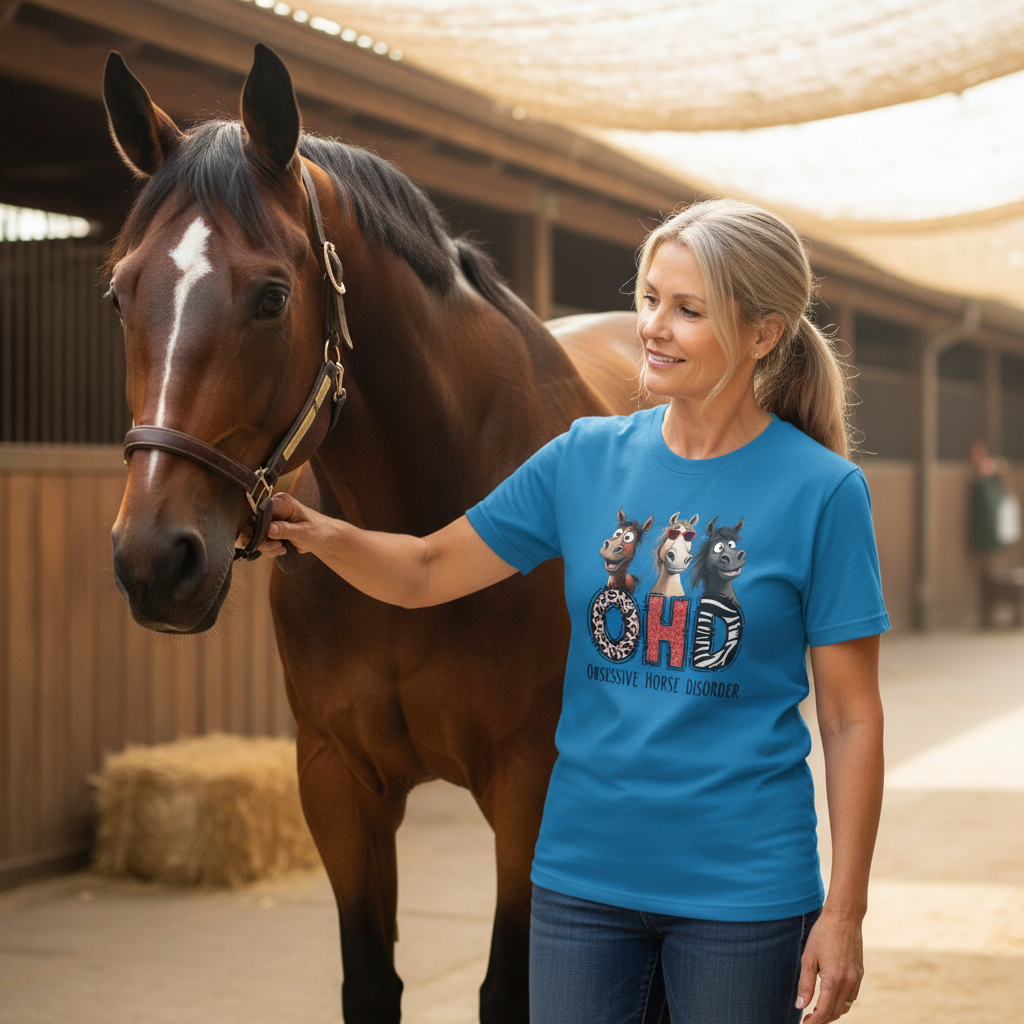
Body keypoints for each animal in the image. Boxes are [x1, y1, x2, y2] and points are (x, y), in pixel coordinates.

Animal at [103, 43, 651, 1024]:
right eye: (121, 295)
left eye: (273, 297)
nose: (154, 561)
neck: (419, 539)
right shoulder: (338, 781)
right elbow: (370, 981)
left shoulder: (530, 780)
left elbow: (511, 987)